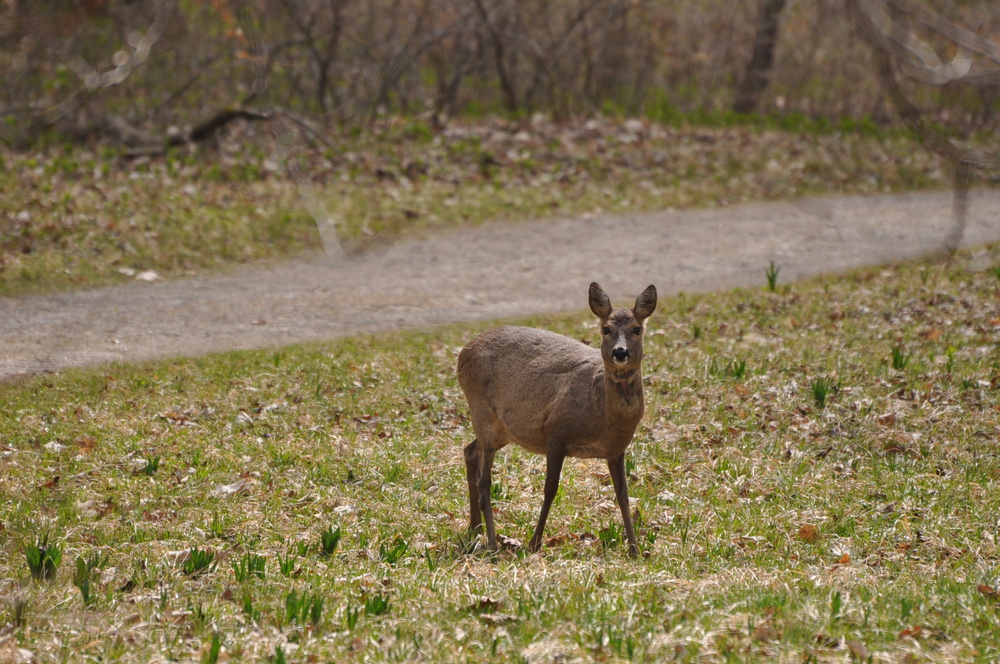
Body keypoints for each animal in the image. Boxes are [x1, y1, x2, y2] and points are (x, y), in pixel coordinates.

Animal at [456, 282, 656, 556]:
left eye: (637, 329)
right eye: (606, 329)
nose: (620, 352)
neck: (603, 414)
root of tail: (463, 352)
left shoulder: (616, 449)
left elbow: (623, 495)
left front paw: (635, 549)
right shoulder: (555, 431)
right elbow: (550, 489)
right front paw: (534, 543)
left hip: (502, 429)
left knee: (470, 451)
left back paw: (473, 530)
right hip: (482, 411)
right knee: (484, 480)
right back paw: (493, 543)